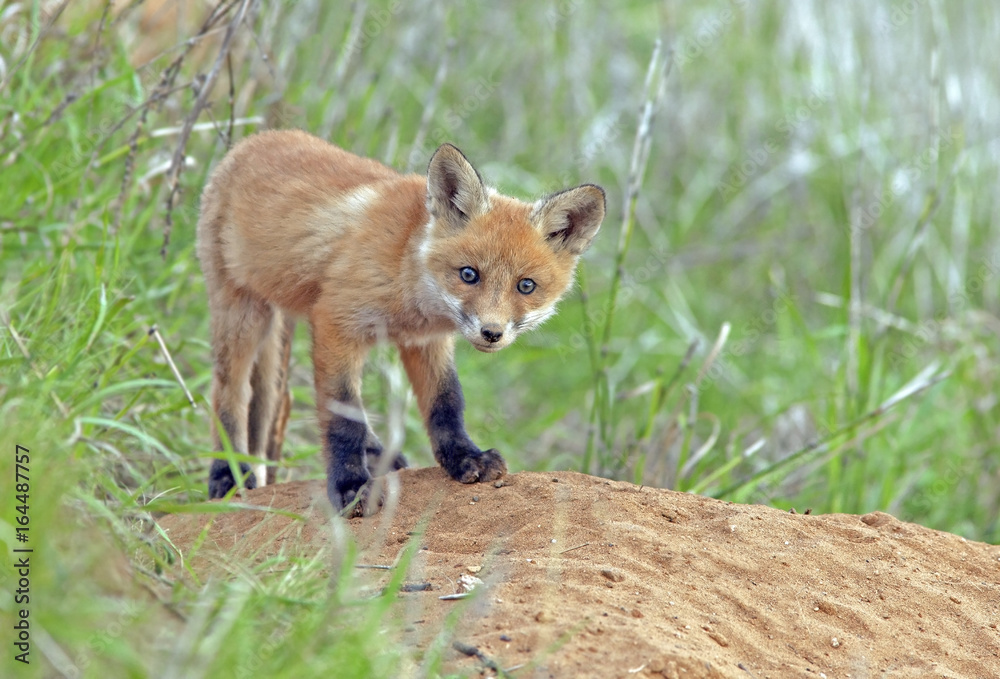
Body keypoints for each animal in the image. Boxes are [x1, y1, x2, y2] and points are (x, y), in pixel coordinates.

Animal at [196, 129, 605, 515]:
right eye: (469, 274)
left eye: (526, 285)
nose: (492, 333)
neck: (407, 270)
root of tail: (253, 140)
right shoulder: (335, 322)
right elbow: (344, 417)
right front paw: (349, 485)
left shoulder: (425, 342)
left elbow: (446, 402)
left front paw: (463, 458)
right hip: (242, 315)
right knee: (229, 393)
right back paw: (228, 472)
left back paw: (379, 454)